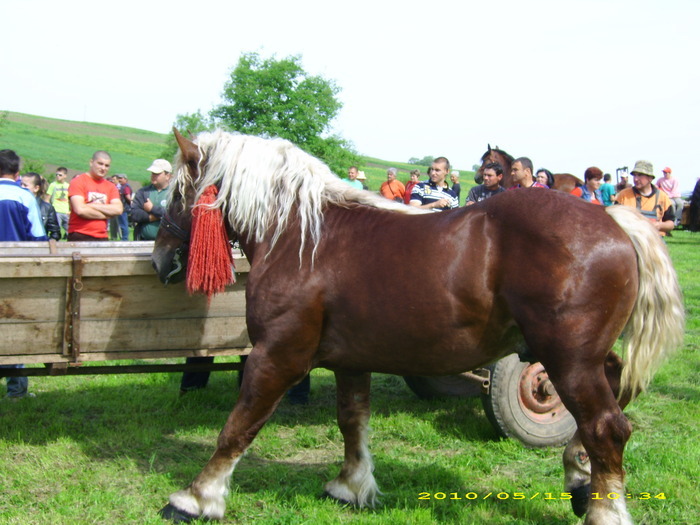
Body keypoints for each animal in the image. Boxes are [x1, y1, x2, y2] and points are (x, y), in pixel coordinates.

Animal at [152, 129, 684, 520]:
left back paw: (603, 507)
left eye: (176, 191)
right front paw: (352, 486)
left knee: (606, 427)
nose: (160, 262)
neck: (299, 236)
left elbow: (238, 426)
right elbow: (352, 421)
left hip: (566, 360)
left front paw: (196, 497)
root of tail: (614, 220)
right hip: (579, 356)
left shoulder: (277, 356)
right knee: (617, 384)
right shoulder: (351, 360)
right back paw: (578, 477)